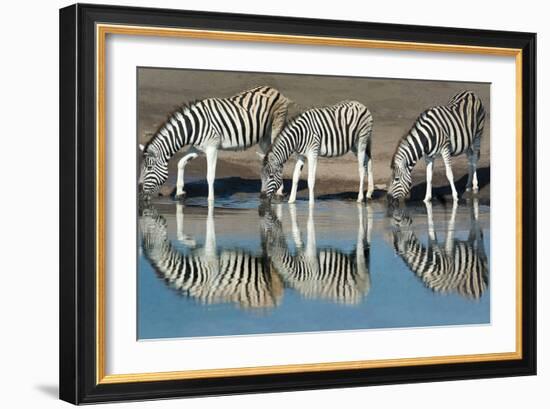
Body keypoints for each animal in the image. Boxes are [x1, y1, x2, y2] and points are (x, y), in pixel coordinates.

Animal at [138, 85, 294, 202]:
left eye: (149, 168)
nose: (139, 192)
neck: (193, 126)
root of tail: (274, 89)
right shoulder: (197, 147)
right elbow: (181, 163)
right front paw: (180, 193)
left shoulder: (212, 148)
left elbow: (210, 175)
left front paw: (210, 201)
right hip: (263, 137)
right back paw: (264, 191)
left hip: (275, 129)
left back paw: (279, 193)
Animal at [138, 202, 284, 308]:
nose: (145, 208)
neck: (191, 272)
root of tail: (275, 302)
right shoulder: (198, 252)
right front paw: (189, 239)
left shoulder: (210, 256)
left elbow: (210, 230)